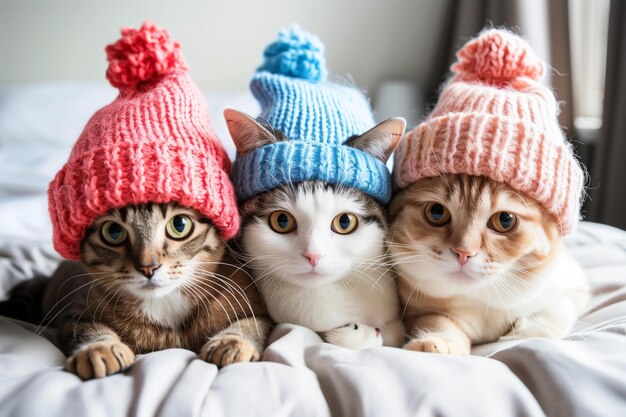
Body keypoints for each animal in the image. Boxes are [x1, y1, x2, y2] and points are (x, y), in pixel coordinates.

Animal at [388, 174, 588, 352]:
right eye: (436, 212)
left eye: (505, 220)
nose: (463, 252)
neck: (485, 296)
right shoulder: (419, 311)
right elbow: (437, 321)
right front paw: (438, 342)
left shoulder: (573, 280)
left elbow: (561, 310)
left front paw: (521, 331)